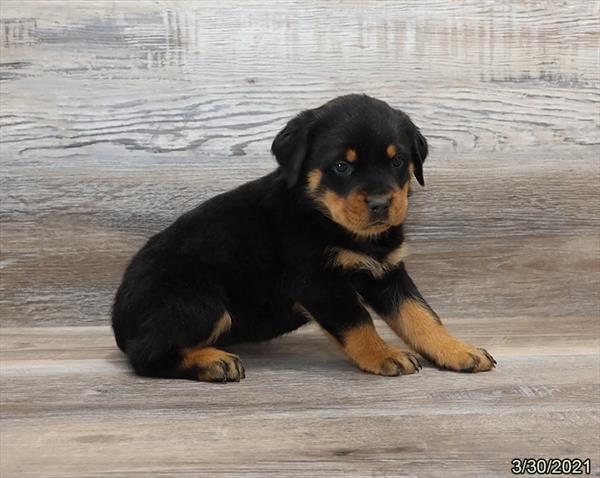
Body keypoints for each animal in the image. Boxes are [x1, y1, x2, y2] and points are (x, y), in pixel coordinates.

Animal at [110, 95, 494, 382]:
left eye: (397, 160)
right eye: (341, 166)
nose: (381, 204)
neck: (326, 218)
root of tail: (117, 317)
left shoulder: (386, 271)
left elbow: (421, 315)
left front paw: (458, 351)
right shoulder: (318, 280)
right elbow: (358, 322)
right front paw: (384, 355)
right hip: (200, 299)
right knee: (144, 354)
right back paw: (212, 361)